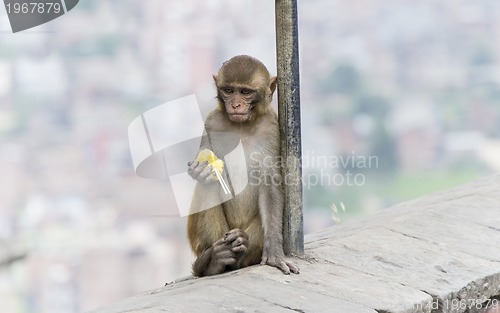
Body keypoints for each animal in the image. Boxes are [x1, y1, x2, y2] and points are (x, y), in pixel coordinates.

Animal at [186, 55, 298, 276]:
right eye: (229, 90)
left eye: (245, 92)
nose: (236, 105)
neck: (242, 126)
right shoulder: (212, 121)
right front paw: (200, 171)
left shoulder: (271, 128)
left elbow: (270, 184)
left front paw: (274, 252)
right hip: (218, 235)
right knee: (207, 185)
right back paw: (214, 260)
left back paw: (241, 243)